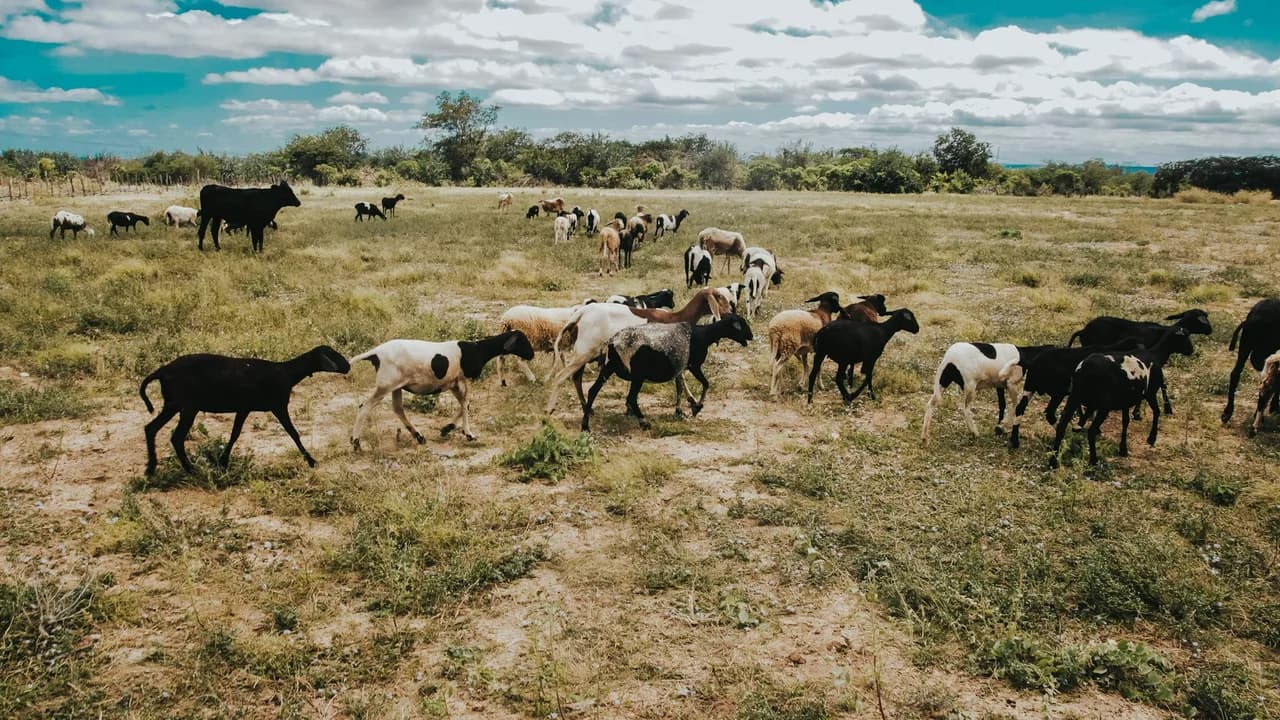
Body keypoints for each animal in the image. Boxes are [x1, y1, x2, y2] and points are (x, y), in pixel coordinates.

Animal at [139, 345, 350, 476]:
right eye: (331, 354)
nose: (348, 366)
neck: (287, 373)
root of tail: (162, 371)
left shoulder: (244, 408)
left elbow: (234, 434)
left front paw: (223, 462)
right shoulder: (278, 406)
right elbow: (293, 433)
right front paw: (311, 461)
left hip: (174, 405)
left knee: (151, 428)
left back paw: (151, 469)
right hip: (187, 407)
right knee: (176, 437)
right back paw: (190, 470)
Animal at [350, 331, 534, 447]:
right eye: (522, 340)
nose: (532, 354)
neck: (477, 350)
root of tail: (375, 354)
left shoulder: (452, 383)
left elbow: (465, 404)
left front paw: (447, 429)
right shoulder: (462, 380)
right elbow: (465, 404)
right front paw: (468, 434)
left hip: (397, 385)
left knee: (398, 409)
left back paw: (419, 437)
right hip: (385, 385)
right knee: (364, 407)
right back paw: (356, 443)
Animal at [545, 288, 731, 414]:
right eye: (719, 297)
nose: (730, 312)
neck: (676, 318)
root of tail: (581, 314)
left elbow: (679, 379)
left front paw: (689, 402)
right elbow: (680, 380)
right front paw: (687, 405)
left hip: (584, 353)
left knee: (576, 378)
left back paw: (586, 408)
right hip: (585, 352)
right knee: (561, 376)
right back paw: (550, 408)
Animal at [921, 343, 1053, 440]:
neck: (1024, 355)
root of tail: (949, 358)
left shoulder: (999, 385)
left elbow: (1002, 405)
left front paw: (1000, 426)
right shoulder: (1011, 384)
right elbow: (1015, 404)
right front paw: (1003, 426)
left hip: (943, 382)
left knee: (931, 404)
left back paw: (925, 435)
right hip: (970, 386)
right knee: (965, 407)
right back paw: (974, 432)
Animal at [1049, 327, 1194, 468]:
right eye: (1185, 338)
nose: (1191, 350)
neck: (1156, 354)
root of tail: (1085, 369)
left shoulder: (1125, 400)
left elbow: (1125, 422)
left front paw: (1123, 449)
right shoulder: (1150, 392)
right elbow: (1156, 412)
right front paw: (1151, 439)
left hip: (1075, 397)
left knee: (1061, 426)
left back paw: (1053, 461)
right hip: (1103, 405)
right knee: (1091, 431)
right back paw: (1093, 461)